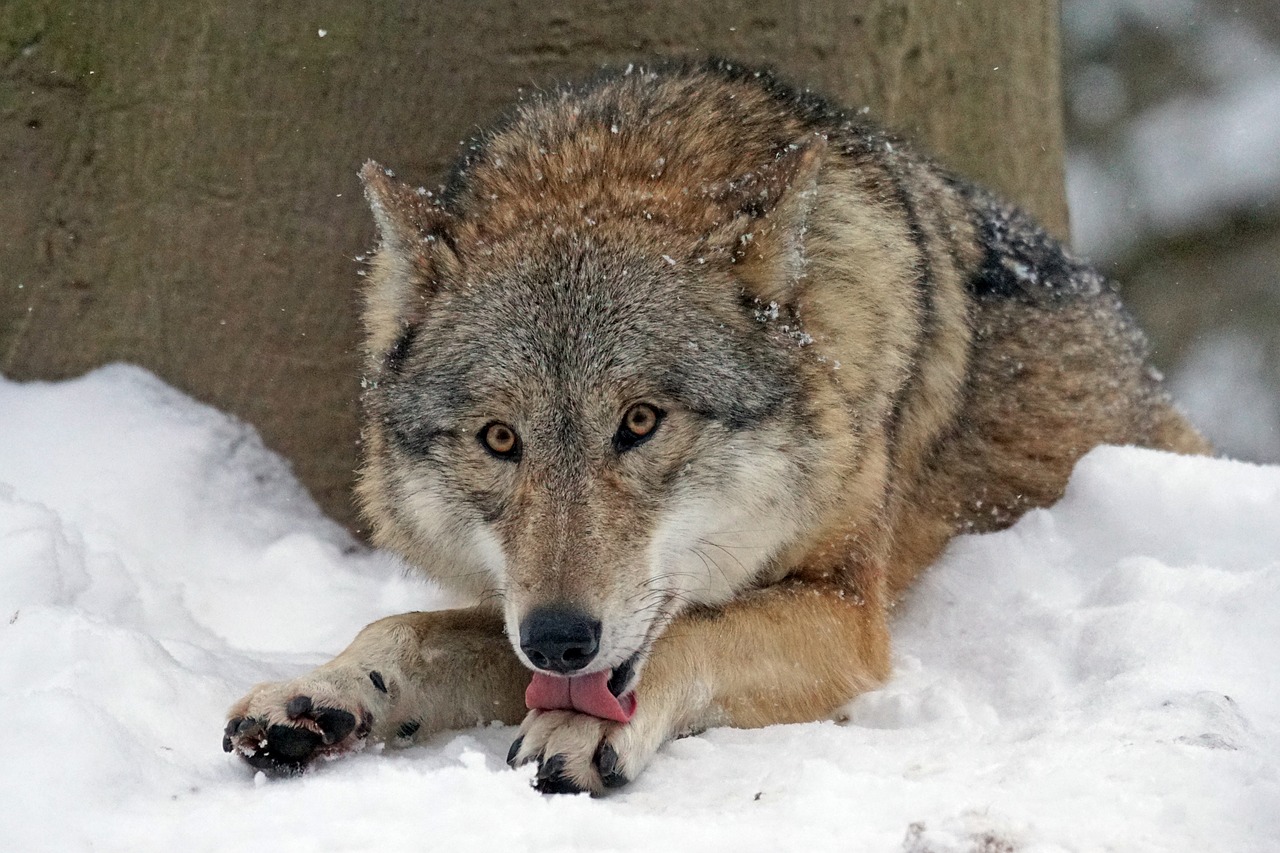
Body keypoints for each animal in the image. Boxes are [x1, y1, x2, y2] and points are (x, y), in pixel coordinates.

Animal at [222, 58, 1208, 788]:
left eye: (641, 421)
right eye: (500, 439)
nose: (559, 638)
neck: (615, 164)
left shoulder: (848, 611)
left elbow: (695, 631)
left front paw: (577, 731)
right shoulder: (518, 614)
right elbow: (405, 628)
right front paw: (317, 693)